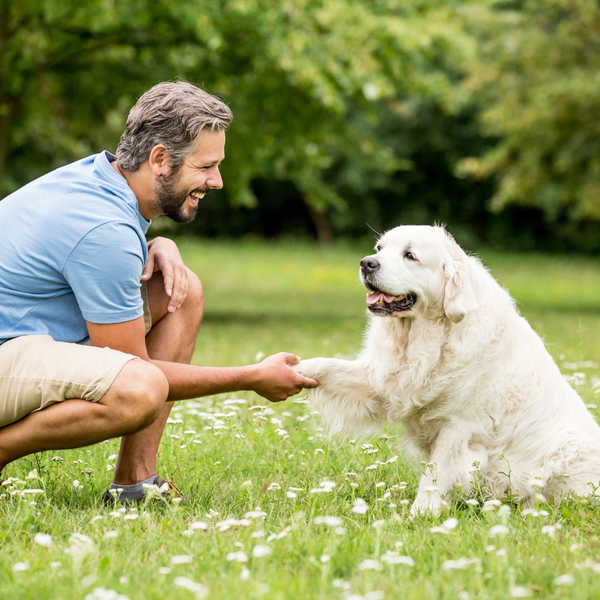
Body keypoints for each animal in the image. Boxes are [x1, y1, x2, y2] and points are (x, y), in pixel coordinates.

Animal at [296, 225, 600, 516]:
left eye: (410, 255)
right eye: (379, 248)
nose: (366, 263)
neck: (426, 337)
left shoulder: (458, 426)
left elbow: (435, 473)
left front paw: (420, 513)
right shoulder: (381, 381)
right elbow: (325, 365)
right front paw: (293, 369)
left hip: (564, 451)